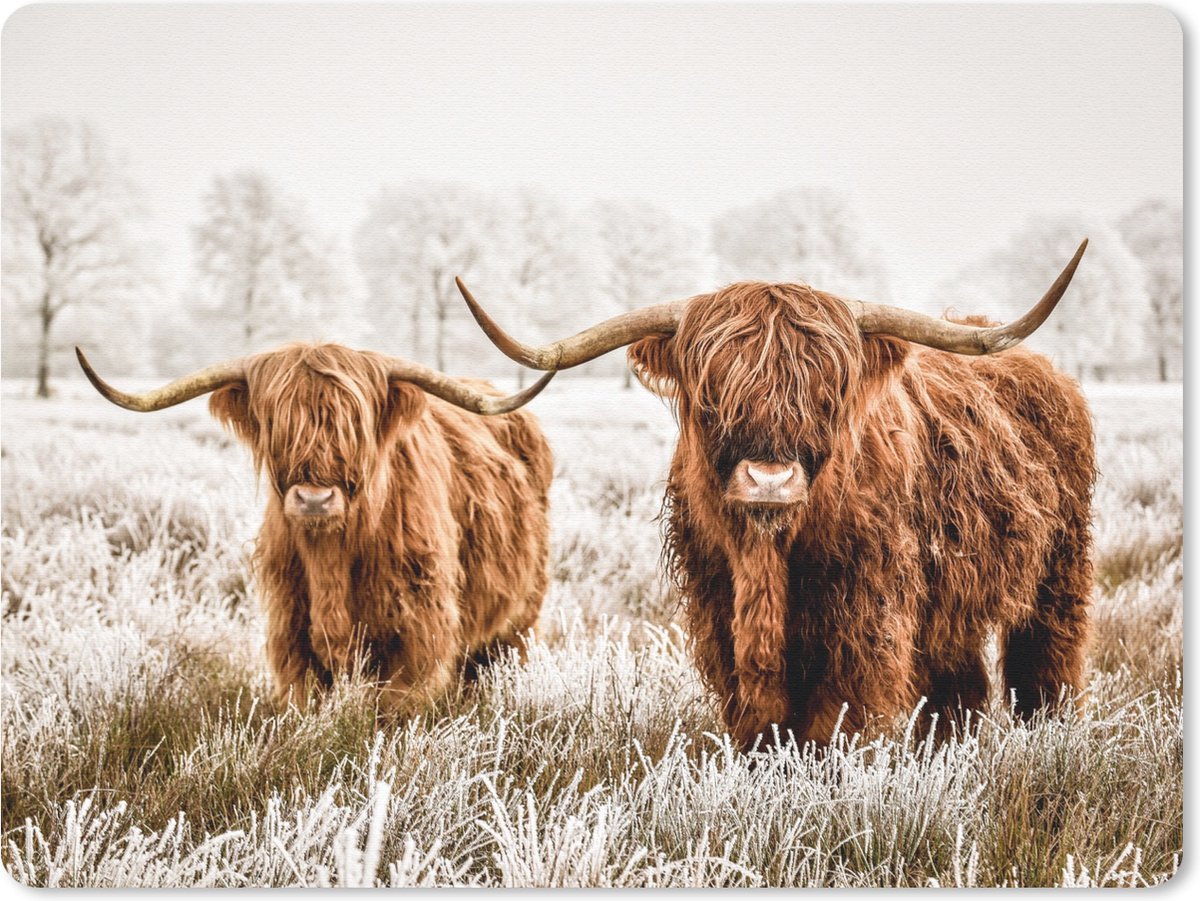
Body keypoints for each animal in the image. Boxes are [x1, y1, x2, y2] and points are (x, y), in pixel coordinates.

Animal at [76, 342, 555, 715]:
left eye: (353, 425)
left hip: (520, 618)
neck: (332, 558)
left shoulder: (419, 632)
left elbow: (396, 709)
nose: (314, 499)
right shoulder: (291, 632)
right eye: (277, 424)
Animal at [455, 240, 1094, 750]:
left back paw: (1049, 736)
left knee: (1045, 663)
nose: (769, 480)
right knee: (959, 686)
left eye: (826, 393)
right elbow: (758, 719)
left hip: (1060, 571)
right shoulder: (718, 608)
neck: (768, 556)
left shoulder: (866, 616)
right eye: (712, 394)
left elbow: (835, 720)